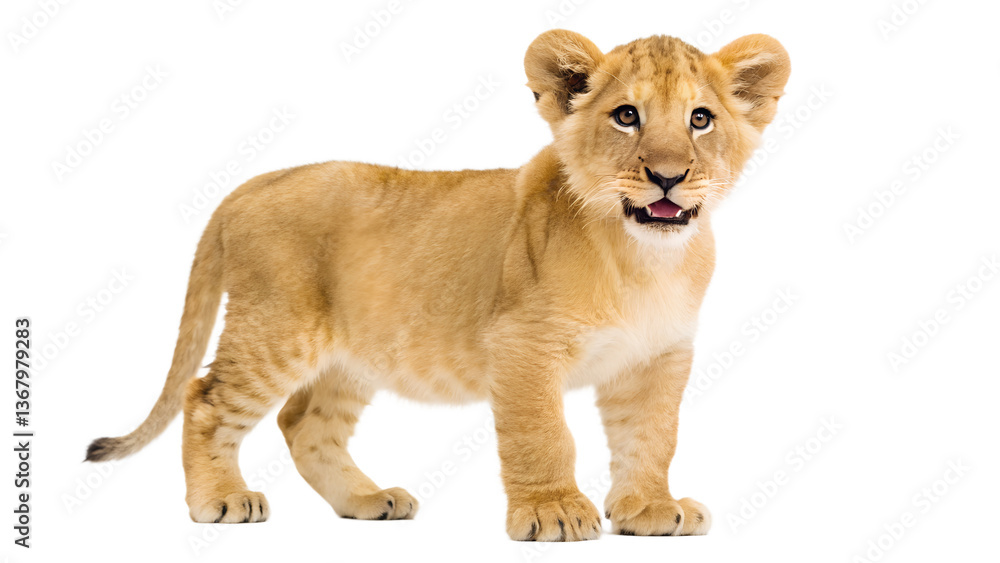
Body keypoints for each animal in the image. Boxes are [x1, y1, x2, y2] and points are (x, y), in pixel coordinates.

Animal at [86, 29, 789, 541]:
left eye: (701, 119)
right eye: (625, 116)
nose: (668, 176)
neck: (643, 259)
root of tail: (255, 182)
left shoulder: (658, 356)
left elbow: (652, 436)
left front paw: (649, 508)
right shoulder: (523, 345)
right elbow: (542, 433)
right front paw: (556, 513)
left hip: (352, 355)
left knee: (304, 423)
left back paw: (369, 500)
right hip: (274, 329)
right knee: (205, 398)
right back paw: (222, 502)